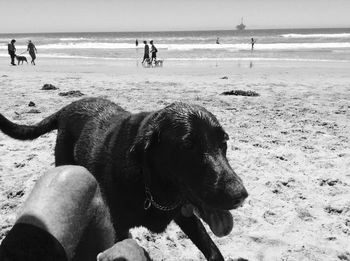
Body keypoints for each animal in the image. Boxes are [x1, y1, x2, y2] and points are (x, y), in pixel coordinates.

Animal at [0, 97, 247, 260]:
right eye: (188, 146)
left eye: (224, 142)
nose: (240, 195)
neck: (150, 185)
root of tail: (68, 106)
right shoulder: (118, 227)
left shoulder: (185, 213)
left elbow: (212, 249)